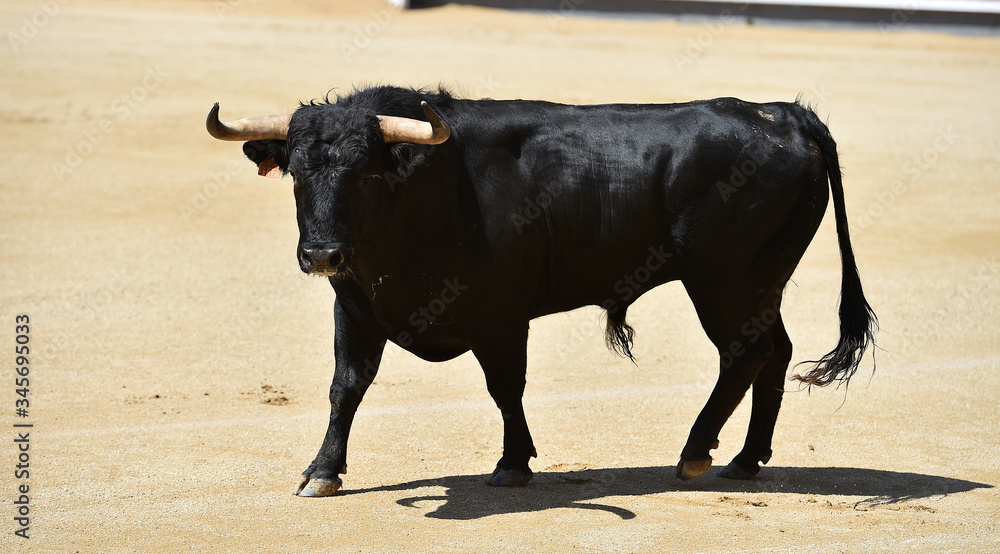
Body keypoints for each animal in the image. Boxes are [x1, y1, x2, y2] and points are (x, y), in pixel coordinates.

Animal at [205, 86, 876, 496]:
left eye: (367, 173)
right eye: (296, 172)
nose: (321, 255)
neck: (425, 191)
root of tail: (784, 113)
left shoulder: (500, 315)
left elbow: (505, 387)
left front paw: (512, 464)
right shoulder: (356, 307)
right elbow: (345, 388)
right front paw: (321, 472)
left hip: (725, 282)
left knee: (745, 355)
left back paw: (695, 454)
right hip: (760, 283)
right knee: (775, 352)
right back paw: (745, 460)